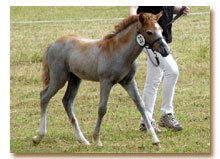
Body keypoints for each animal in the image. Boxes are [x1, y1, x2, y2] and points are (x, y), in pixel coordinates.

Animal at [32, 11, 170, 147]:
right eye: (149, 32)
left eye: (161, 30)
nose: (166, 50)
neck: (119, 51)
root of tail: (52, 44)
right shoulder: (105, 81)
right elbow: (102, 108)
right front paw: (97, 139)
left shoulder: (128, 81)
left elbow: (141, 105)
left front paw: (155, 140)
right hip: (58, 78)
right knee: (44, 96)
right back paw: (38, 136)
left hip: (75, 79)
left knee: (67, 101)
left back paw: (83, 140)